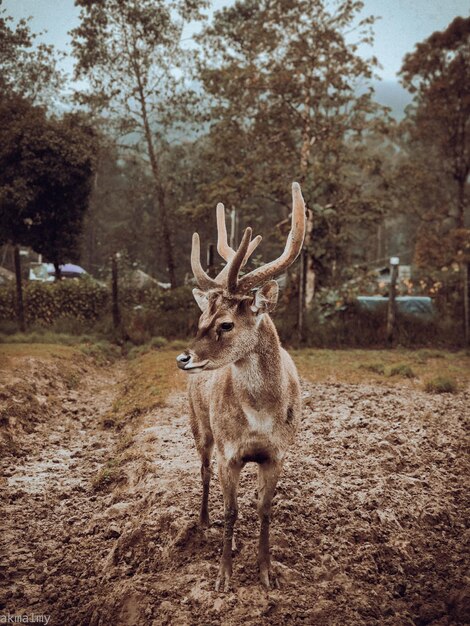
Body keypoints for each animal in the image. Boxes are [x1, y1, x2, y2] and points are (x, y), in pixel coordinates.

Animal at [178, 182, 306, 588]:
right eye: (201, 319)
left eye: (226, 324)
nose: (183, 358)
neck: (261, 416)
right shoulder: (229, 451)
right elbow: (231, 511)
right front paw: (223, 575)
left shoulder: (277, 453)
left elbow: (264, 509)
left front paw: (267, 573)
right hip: (200, 427)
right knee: (204, 473)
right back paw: (206, 522)